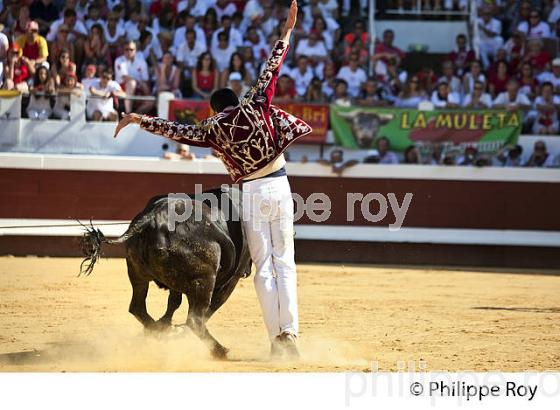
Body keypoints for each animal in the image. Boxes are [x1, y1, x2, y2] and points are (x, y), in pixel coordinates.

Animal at [80, 187, 250, 358]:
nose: (247, 272)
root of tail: (152, 218)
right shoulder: (231, 279)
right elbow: (212, 306)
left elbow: (174, 302)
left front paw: (165, 326)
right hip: (204, 280)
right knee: (195, 319)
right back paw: (220, 350)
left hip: (138, 274)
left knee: (137, 307)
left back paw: (156, 330)